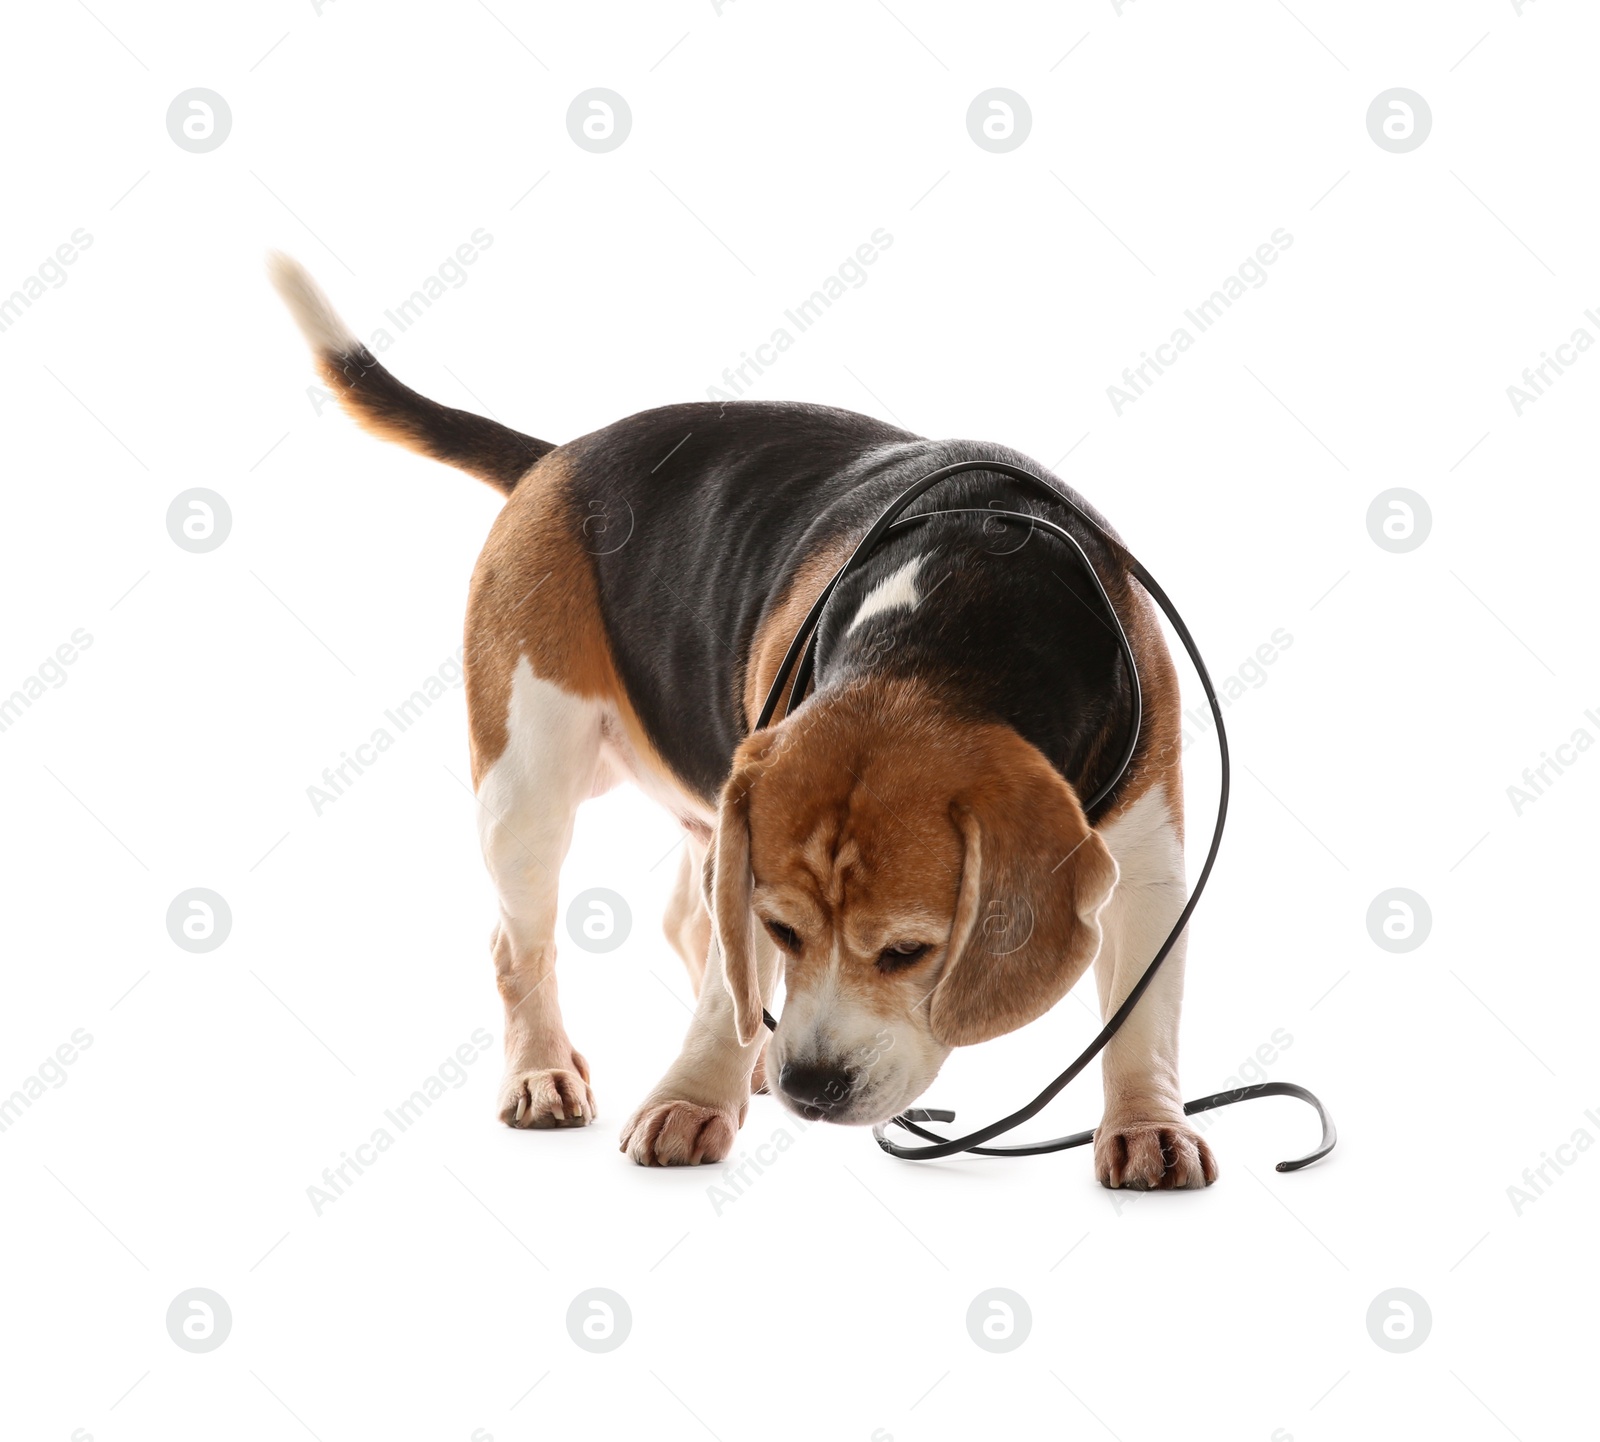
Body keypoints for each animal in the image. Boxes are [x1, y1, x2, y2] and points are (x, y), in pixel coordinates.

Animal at [275, 252, 1216, 1184]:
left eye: (909, 952)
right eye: (784, 929)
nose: (812, 1086)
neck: (953, 631)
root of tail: (560, 457)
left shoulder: (1151, 863)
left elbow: (1142, 1019)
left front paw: (1145, 1125)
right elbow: (724, 982)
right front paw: (692, 1099)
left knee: (686, 924)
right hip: (526, 782)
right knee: (525, 946)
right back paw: (544, 1070)